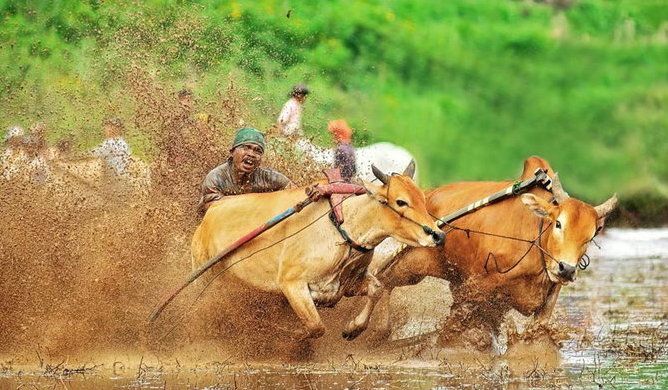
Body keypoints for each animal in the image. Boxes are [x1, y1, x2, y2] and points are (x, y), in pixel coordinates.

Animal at [350, 157, 616, 348]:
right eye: (558, 223)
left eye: (592, 234)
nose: (566, 269)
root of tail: (427, 197)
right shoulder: (477, 288)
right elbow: (452, 328)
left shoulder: (544, 303)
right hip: (415, 263)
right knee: (384, 281)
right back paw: (363, 328)